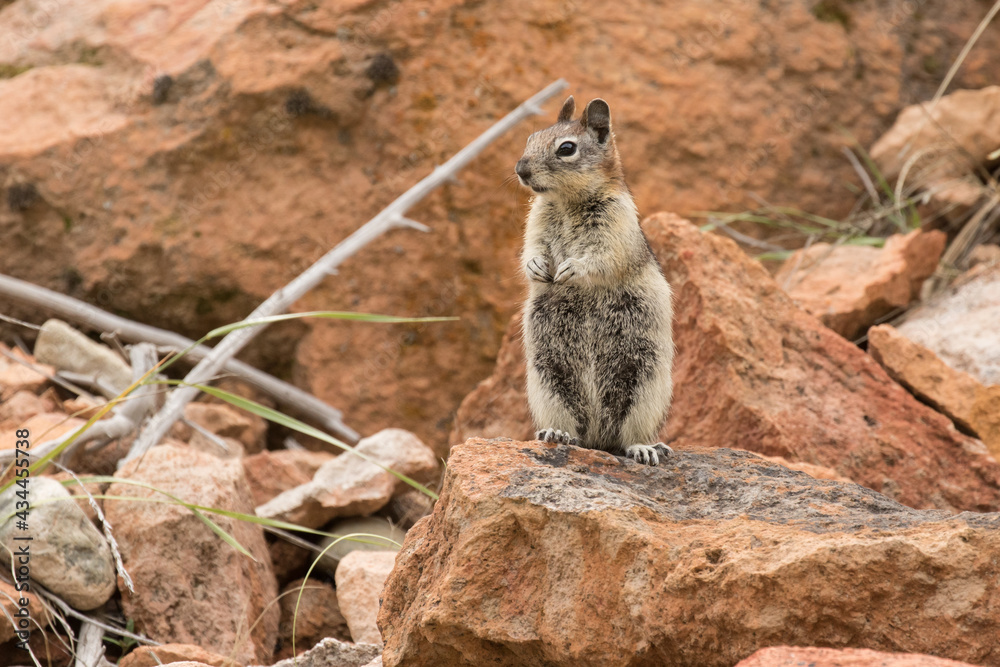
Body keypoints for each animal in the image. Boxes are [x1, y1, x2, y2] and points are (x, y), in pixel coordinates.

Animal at [515, 96, 675, 466]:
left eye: (567, 148)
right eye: (530, 138)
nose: (520, 169)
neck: (566, 201)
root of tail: (599, 438)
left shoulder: (616, 226)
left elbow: (602, 259)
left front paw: (571, 270)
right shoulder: (536, 221)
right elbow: (531, 248)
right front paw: (536, 267)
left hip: (644, 384)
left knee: (631, 434)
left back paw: (644, 448)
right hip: (549, 380)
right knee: (569, 426)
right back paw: (557, 434)